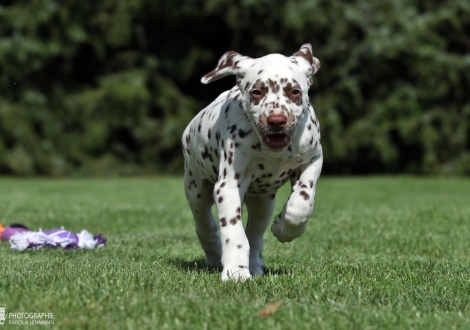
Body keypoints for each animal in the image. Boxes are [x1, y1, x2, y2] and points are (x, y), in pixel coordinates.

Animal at [183, 43, 324, 282]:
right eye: (257, 92)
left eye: (295, 91)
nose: (276, 120)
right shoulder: (228, 186)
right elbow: (234, 233)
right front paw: (235, 272)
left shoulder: (313, 159)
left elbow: (302, 202)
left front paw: (284, 228)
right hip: (197, 191)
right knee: (205, 225)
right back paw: (215, 255)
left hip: (263, 203)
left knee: (255, 235)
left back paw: (256, 265)